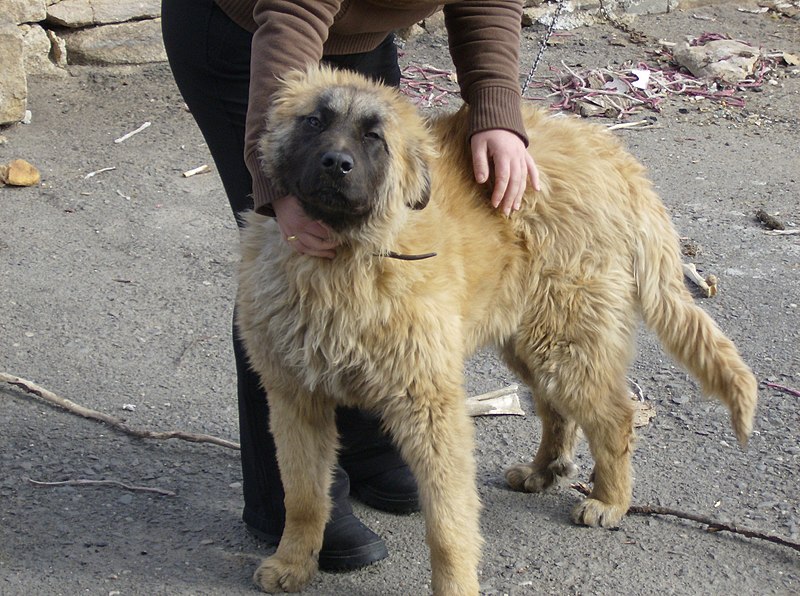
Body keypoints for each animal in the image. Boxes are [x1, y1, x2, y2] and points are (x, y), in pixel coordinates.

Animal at [236, 67, 756, 592]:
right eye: (314, 122)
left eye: (374, 138)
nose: (335, 164)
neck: (344, 261)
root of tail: (611, 154)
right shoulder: (294, 399)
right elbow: (303, 496)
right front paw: (294, 562)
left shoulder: (430, 407)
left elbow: (448, 524)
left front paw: (456, 585)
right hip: (531, 340)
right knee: (556, 410)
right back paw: (544, 471)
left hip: (565, 340)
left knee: (613, 416)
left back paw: (609, 499)